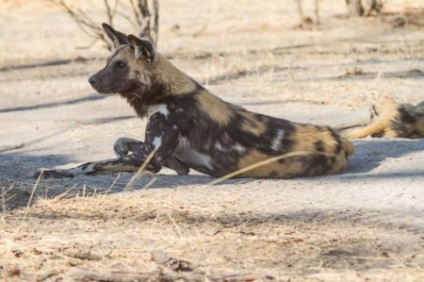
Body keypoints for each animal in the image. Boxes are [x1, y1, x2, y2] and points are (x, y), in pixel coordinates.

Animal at [36, 23, 354, 178]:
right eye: (107, 63)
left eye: (120, 66)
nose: (91, 80)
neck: (169, 93)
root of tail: (339, 139)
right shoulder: (165, 160)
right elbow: (120, 142)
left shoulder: (149, 159)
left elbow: (88, 164)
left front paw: (54, 171)